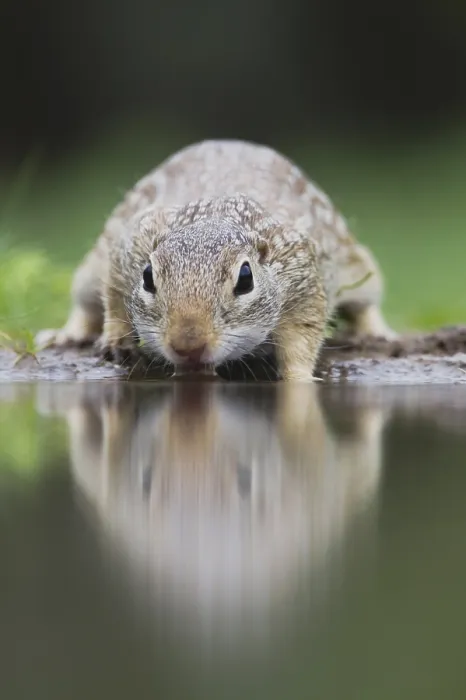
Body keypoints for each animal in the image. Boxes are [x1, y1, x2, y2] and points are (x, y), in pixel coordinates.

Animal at [37, 139, 396, 381]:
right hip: (88, 272)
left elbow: (301, 339)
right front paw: (116, 339)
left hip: (358, 267)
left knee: (365, 305)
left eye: (246, 279)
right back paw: (66, 335)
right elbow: (113, 300)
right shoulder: (127, 245)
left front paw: (301, 379)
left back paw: (377, 332)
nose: (187, 345)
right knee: (85, 306)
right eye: (148, 276)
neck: (215, 215)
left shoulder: (303, 276)